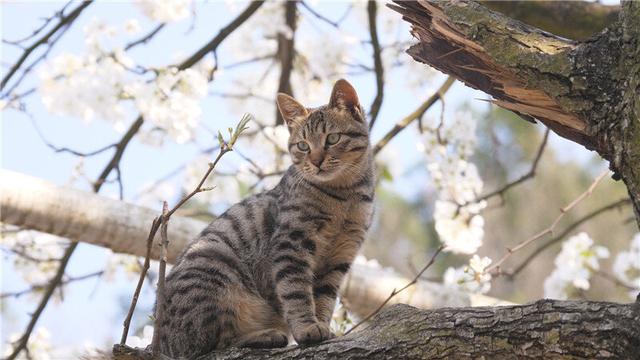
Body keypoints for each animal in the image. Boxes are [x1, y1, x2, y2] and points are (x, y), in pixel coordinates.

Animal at [156, 78, 376, 358]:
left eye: (332, 138)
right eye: (303, 145)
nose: (316, 161)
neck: (344, 195)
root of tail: (160, 343)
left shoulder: (340, 256)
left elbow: (324, 298)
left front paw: (322, 325)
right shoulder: (291, 244)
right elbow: (296, 292)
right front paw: (307, 327)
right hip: (214, 264)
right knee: (212, 343)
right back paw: (264, 335)